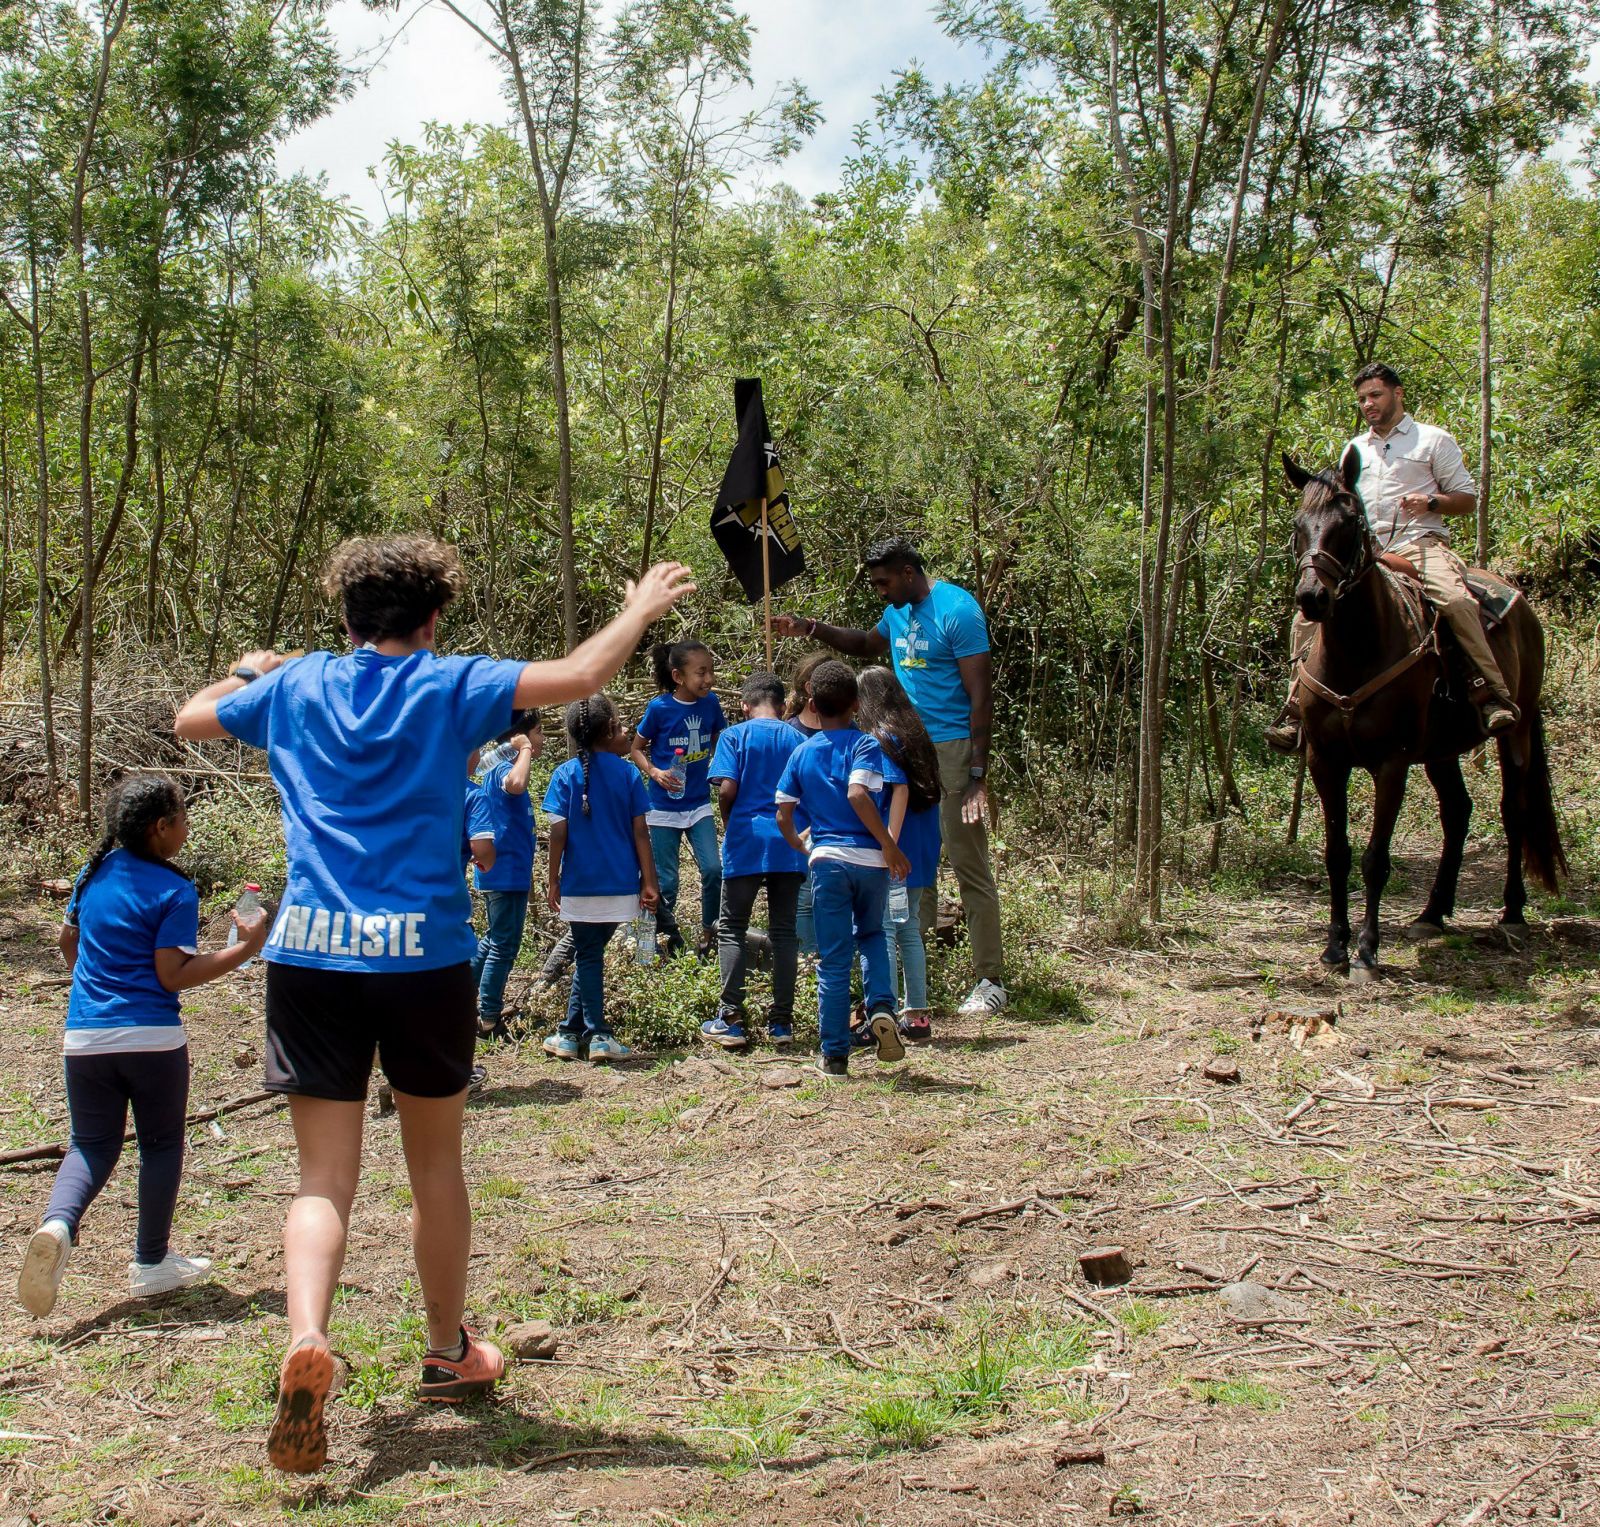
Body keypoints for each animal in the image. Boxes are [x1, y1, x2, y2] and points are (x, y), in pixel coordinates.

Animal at [1286, 444, 1561, 979]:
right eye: (1298, 525)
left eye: (1349, 523)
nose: (1312, 598)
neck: (1355, 650)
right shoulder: (1325, 761)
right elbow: (1336, 853)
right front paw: (1334, 947)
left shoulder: (1392, 762)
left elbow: (1375, 858)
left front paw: (1367, 951)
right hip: (1439, 750)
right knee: (1457, 811)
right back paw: (1432, 914)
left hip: (1514, 731)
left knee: (1513, 808)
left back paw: (1513, 914)